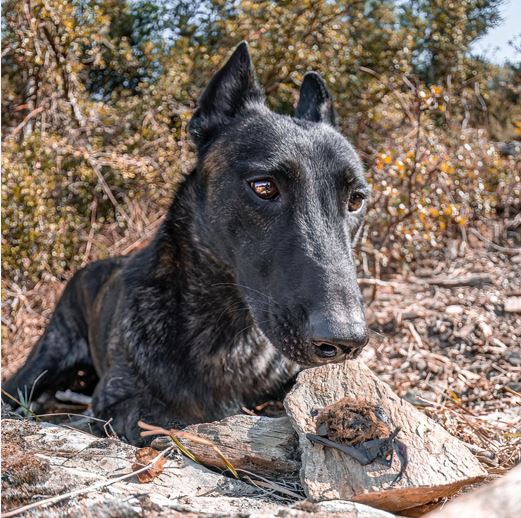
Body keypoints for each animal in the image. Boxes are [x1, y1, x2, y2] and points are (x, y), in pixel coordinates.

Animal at [4, 42, 369, 444]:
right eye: (263, 187)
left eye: (356, 200)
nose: (347, 341)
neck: (227, 328)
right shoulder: (120, 401)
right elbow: (172, 420)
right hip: (40, 363)